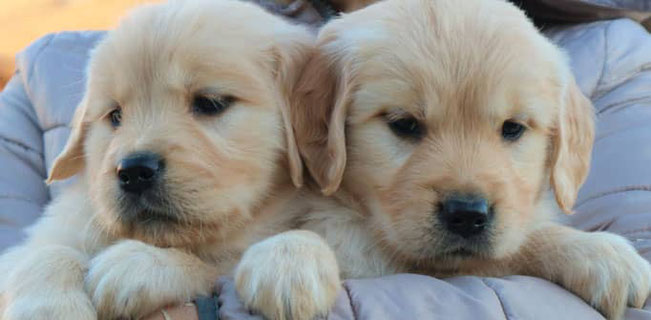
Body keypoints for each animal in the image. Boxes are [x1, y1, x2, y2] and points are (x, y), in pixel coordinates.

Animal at [0, 0, 314, 320]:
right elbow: (45, 252)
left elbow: (212, 264)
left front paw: (141, 263)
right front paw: (48, 309)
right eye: (115, 115)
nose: (134, 172)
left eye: (210, 103)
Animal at [237, 0, 651, 320]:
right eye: (404, 124)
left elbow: (525, 238)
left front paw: (598, 253)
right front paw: (287, 261)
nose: (467, 213)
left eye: (513, 128)